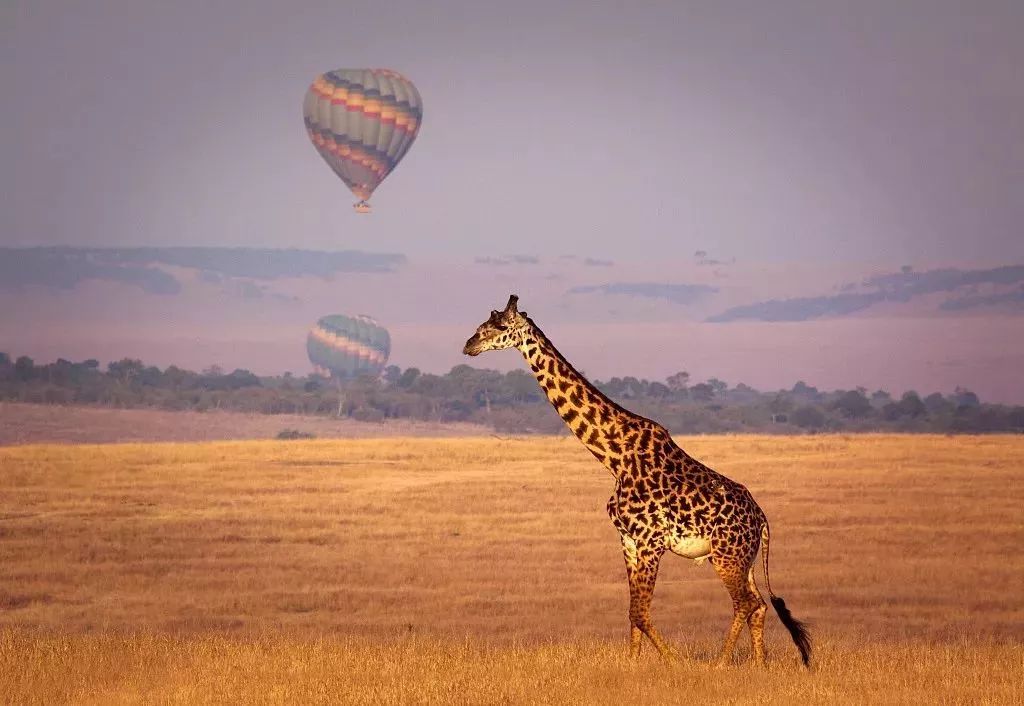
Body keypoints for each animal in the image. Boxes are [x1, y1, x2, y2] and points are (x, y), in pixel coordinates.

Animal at [460, 293, 811, 668]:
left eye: (498, 325)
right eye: (483, 323)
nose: (469, 345)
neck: (615, 456)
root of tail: (762, 519)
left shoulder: (650, 540)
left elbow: (641, 613)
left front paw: (675, 662)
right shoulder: (627, 540)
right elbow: (632, 614)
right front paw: (632, 663)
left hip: (726, 556)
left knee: (746, 603)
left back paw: (719, 663)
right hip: (743, 559)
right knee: (758, 605)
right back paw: (758, 664)